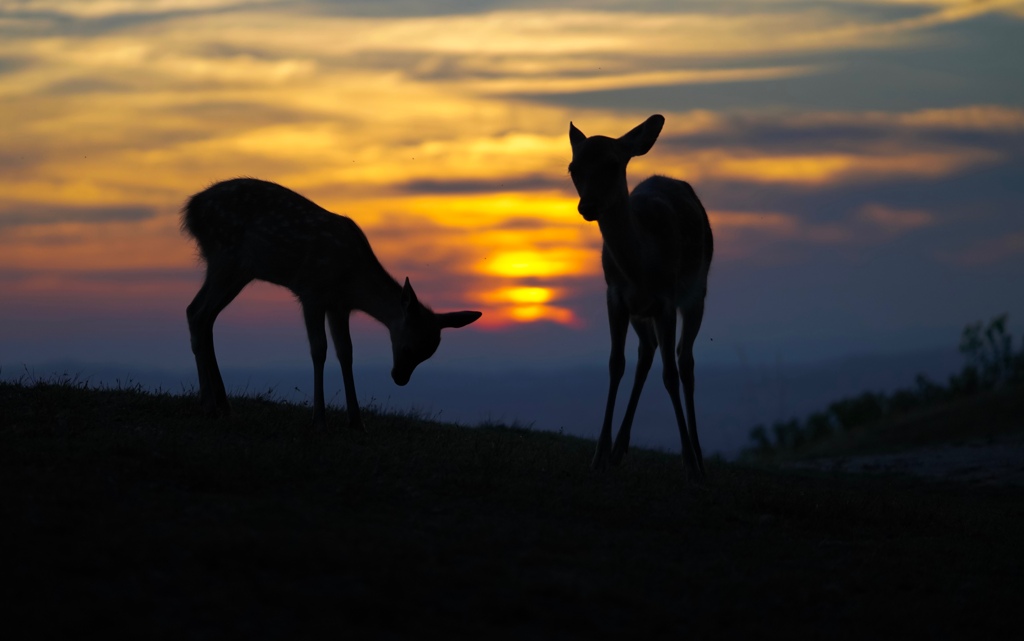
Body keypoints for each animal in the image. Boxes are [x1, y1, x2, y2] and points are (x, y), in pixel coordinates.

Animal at [181, 177, 483, 430]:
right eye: (408, 346)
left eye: (427, 354)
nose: (400, 378)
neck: (352, 280)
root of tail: (191, 209)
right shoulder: (312, 292)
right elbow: (319, 350)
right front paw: (319, 419)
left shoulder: (339, 305)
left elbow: (346, 353)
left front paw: (357, 421)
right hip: (225, 258)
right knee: (197, 312)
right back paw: (209, 405)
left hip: (238, 270)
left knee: (203, 315)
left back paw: (223, 405)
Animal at [569, 112, 712, 477]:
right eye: (574, 167)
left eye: (613, 164)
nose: (588, 205)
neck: (642, 266)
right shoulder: (616, 298)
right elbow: (615, 364)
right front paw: (598, 456)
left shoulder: (666, 300)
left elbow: (670, 374)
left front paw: (689, 463)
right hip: (640, 314)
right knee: (646, 352)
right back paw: (619, 448)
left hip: (697, 294)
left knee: (685, 360)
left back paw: (699, 456)